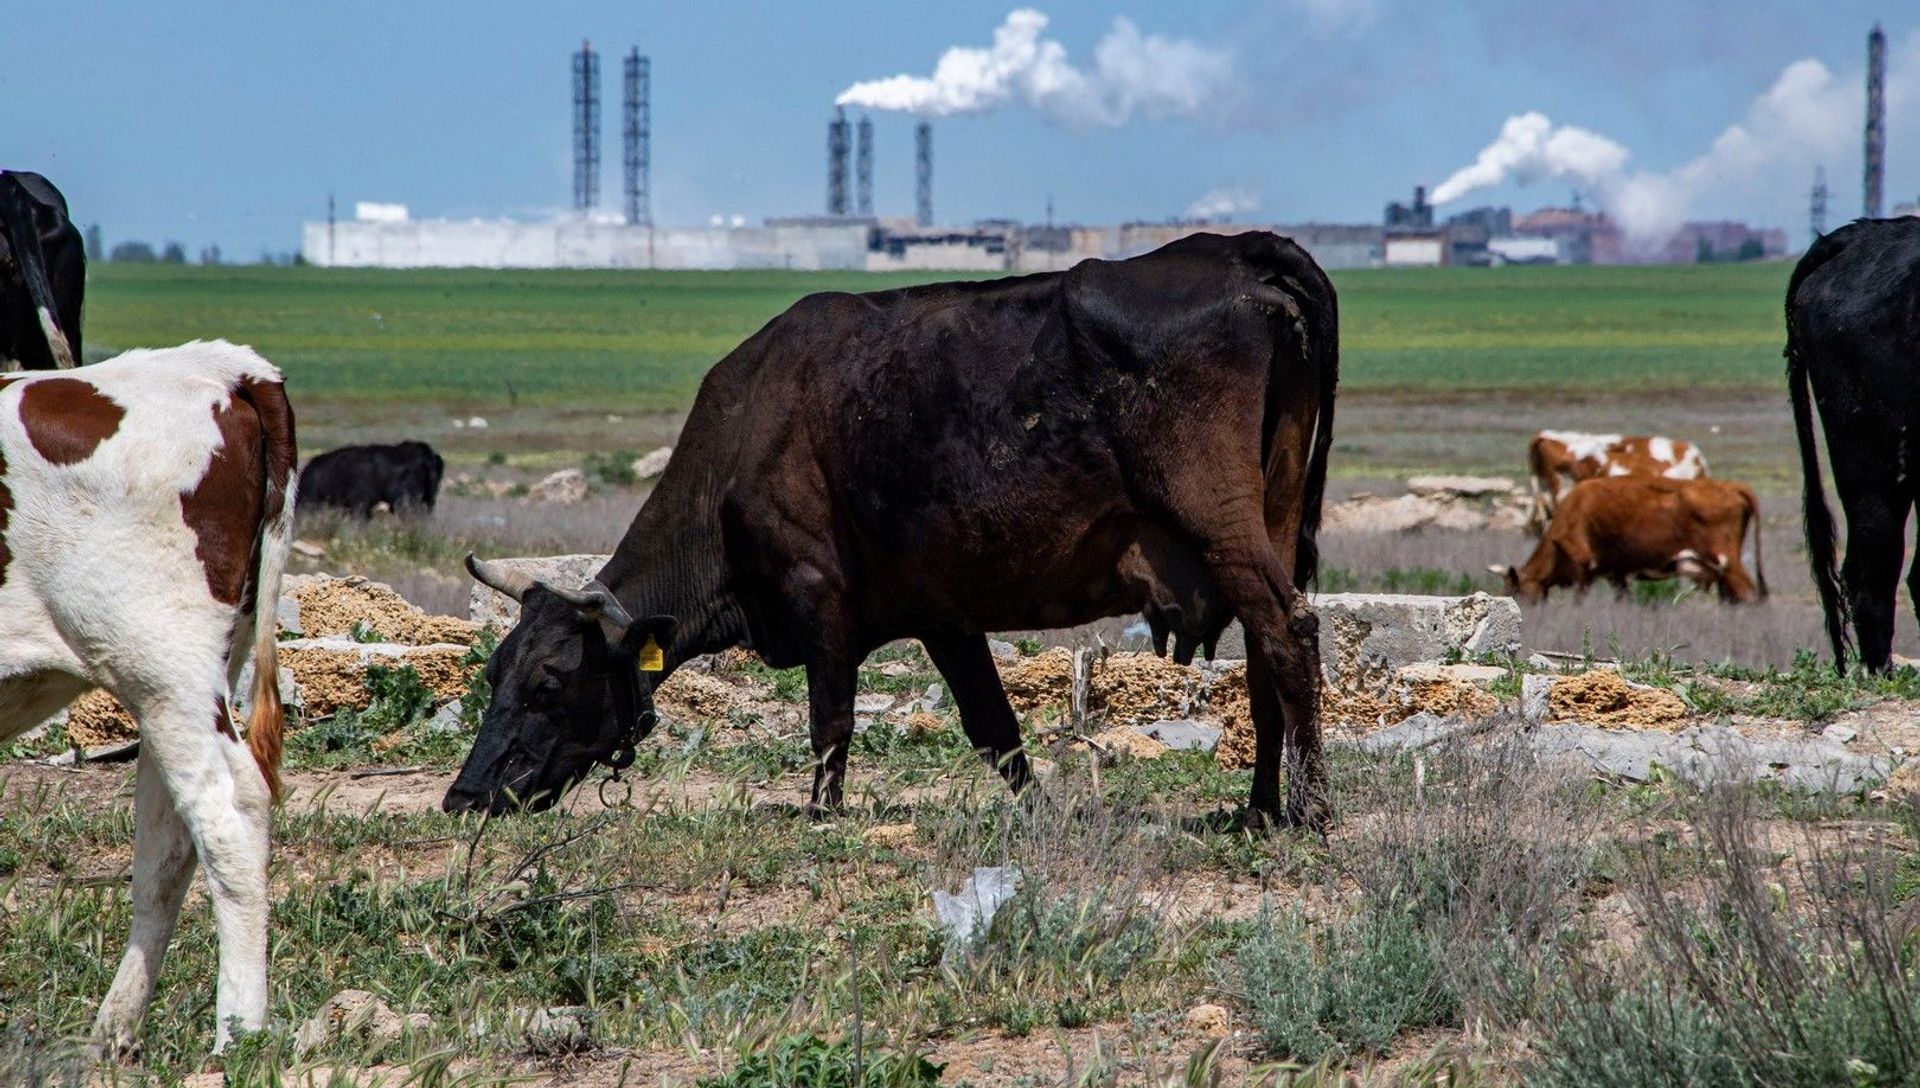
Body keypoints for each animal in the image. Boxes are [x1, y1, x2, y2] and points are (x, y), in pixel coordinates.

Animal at [0, 340, 296, 1054]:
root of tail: (217, 364)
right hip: (181, 682)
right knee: (167, 847)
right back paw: (116, 1029)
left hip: (165, 669)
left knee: (230, 812)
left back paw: (236, 1036)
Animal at [445, 231, 1339, 831]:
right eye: (493, 673)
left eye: (549, 683)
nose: (465, 795)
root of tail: (1237, 250)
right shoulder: (943, 613)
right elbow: (995, 730)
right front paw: (1041, 815)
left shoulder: (819, 596)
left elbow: (830, 721)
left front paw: (822, 817)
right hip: (1273, 515)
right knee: (1265, 656)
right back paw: (1261, 809)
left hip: (1220, 520)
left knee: (1289, 632)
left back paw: (1313, 811)